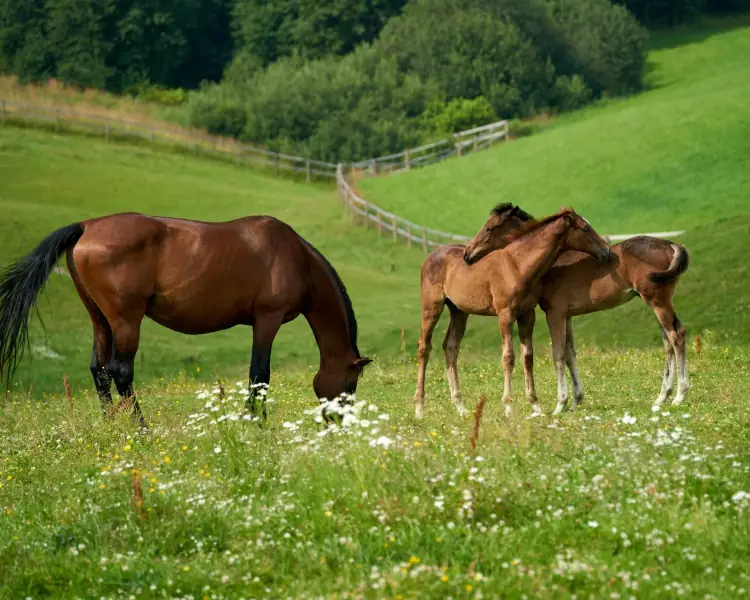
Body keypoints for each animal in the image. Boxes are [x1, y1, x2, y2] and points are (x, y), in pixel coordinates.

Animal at [0, 213, 372, 427]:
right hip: (125, 321)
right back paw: (141, 429)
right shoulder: (268, 319)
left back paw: (111, 427)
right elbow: (259, 375)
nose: (341, 424)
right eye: (349, 386)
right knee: (121, 372)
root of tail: (86, 227)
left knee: (99, 370)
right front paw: (256, 423)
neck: (295, 257)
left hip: (99, 319)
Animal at [414, 207, 610, 418]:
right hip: (432, 307)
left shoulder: (527, 314)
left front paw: (535, 405)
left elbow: (528, 356)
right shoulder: (505, 315)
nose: (606, 251)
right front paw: (508, 406)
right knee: (424, 347)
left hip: (459, 312)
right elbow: (508, 357)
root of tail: (431, 255)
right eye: (586, 228)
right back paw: (419, 408)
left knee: (450, 346)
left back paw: (460, 407)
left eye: (489, 228)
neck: (518, 266)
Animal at [463, 207, 690, 415]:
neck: (548, 266)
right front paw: (575, 402)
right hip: (655, 302)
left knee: (676, 335)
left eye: (489, 228)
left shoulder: (555, 313)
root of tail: (672, 245)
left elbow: (558, 354)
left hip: (658, 301)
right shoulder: (568, 315)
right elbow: (570, 353)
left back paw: (679, 395)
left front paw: (559, 405)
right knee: (668, 341)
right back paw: (662, 397)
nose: (467, 254)